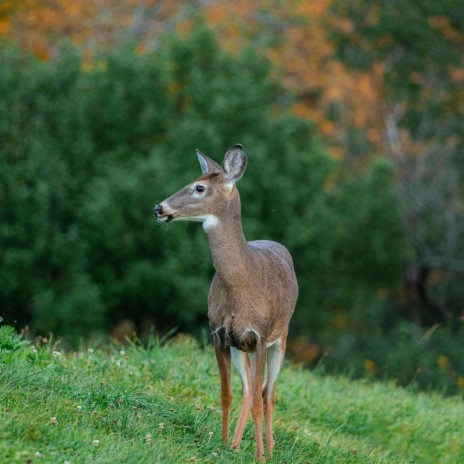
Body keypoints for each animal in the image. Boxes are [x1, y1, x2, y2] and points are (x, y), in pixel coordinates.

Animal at [152, 144, 298, 460]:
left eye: (199, 187)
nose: (159, 208)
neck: (241, 286)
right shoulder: (219, 334)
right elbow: (226, 393)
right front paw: (221, 443)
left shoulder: (259, 335)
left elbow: (258, 401)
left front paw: (260, 457)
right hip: (239, 347)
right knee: (249, 390)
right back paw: (235, 444)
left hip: (281, 338)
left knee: (268, 394)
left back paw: (270, 448)